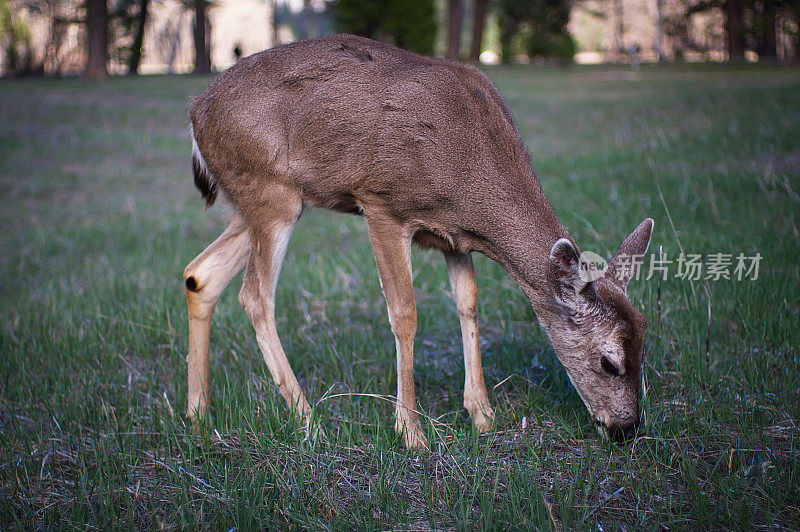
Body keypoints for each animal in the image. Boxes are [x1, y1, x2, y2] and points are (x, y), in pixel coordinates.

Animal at [184, 34, 652, 448]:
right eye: (609, 361)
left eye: (646, 339)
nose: (627, 429)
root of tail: (195, 112)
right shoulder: (383, 205)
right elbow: (405, 313)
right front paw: (411, 433)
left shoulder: (454, 239)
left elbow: (469, 303)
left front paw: (483, 416)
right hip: (270, 192)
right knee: (254, 295)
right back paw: (309, 421)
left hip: (264, 201)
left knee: (198, 274)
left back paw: (197, 414)